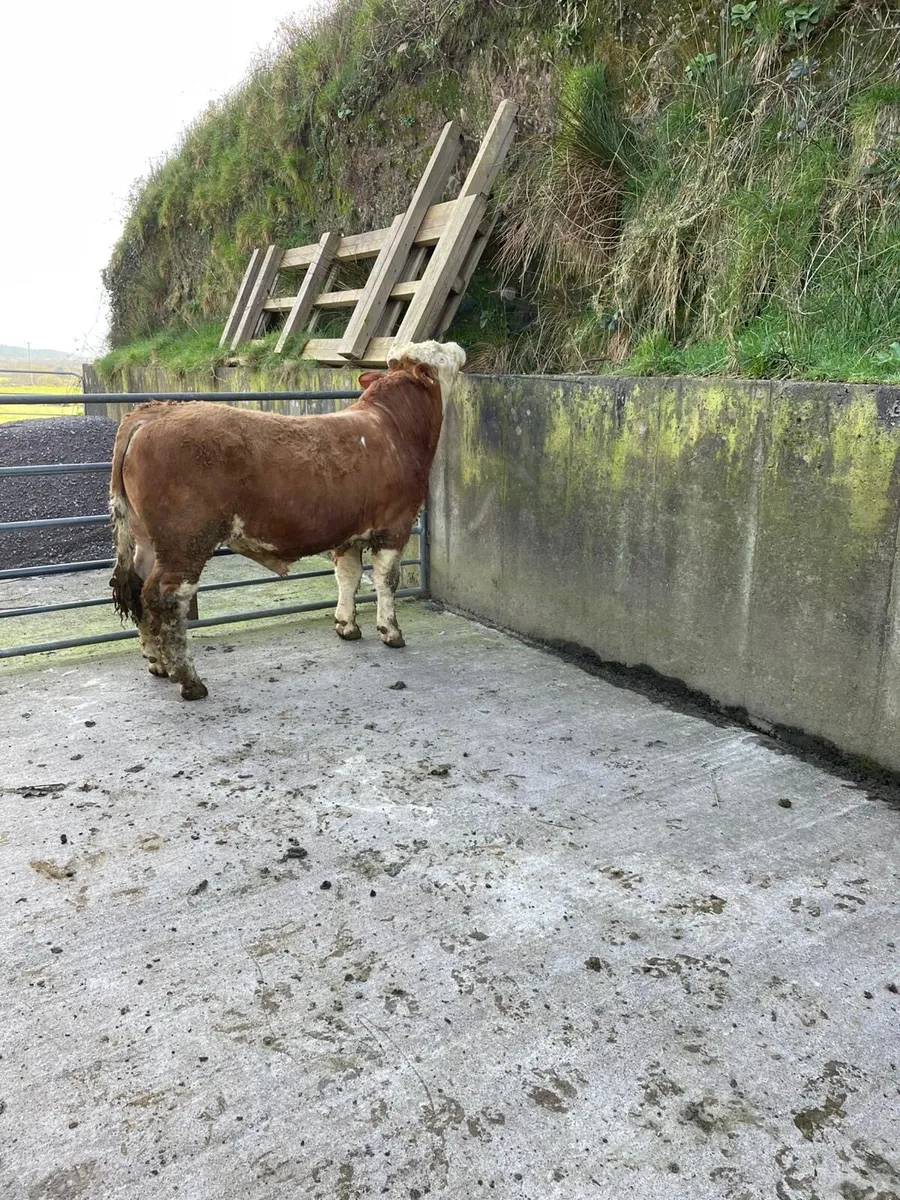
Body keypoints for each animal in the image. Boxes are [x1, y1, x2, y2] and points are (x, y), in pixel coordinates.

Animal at [108, 339, 465, 700]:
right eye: (439, 351)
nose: (456, 345)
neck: (393, 429)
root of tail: (157, 410)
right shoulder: (395, 525)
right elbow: (387, 580)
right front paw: (390, 631)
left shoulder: (349, 532)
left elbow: (348, 576)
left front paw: (346, 625)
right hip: (185, 542)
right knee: (165, 598)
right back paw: (189, 680)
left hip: (147, 540)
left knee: (138, 589)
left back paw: (157, 663)